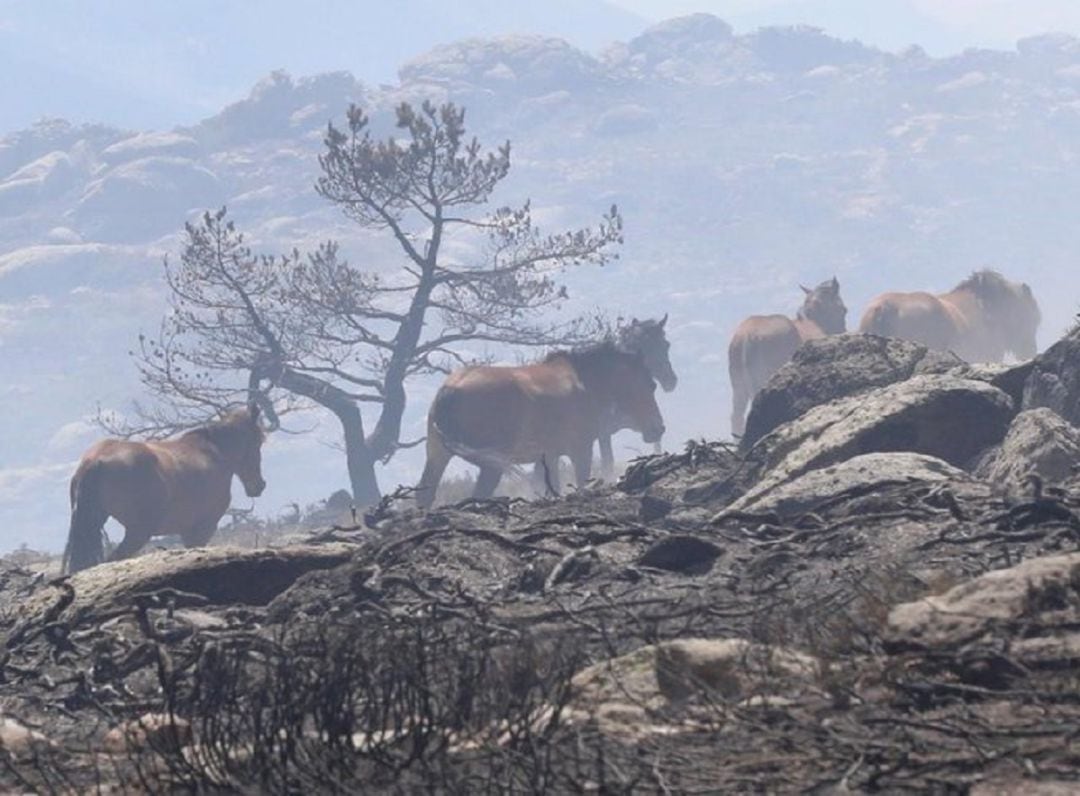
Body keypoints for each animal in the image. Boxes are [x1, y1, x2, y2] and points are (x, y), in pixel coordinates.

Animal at [63, 406, 270, 570]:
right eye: (258, 441)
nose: (259, 485)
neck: (213, 452)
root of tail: (96, 460)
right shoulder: (202, 529)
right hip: (137, 532)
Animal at [414, 339, 660, 505]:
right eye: (650, 384)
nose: (658, 427)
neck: (584, 383)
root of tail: (451, 389)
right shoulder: (580, 449)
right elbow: (580, 482)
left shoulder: (549, 456)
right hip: (491, 464)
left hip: (437, 455)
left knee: (425, 495)